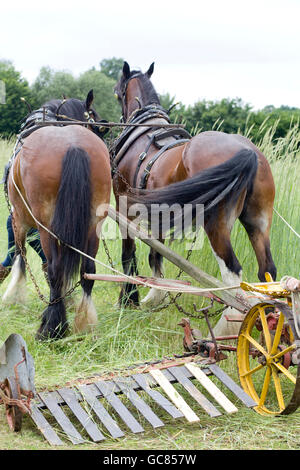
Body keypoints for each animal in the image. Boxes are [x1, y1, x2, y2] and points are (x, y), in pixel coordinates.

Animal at [5, 92, 111, 340]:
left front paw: (15, 296)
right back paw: (85, 323)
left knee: (55, 269)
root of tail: (73, 145)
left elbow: (20, 256)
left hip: (45, 226)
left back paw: (51, 327)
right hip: (93, 224)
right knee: (87, 271)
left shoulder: (19, 220)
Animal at [112, 61, 276, 334]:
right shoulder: (158, 216)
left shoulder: (125, 208)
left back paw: (224, 328)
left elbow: (129, 254)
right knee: (267, 270)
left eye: (116, 92)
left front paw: (128, 300)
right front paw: (154, 297)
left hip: (217, 224)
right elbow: (156, 254)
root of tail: (248, 152)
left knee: (232, 274)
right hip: (258, 222)